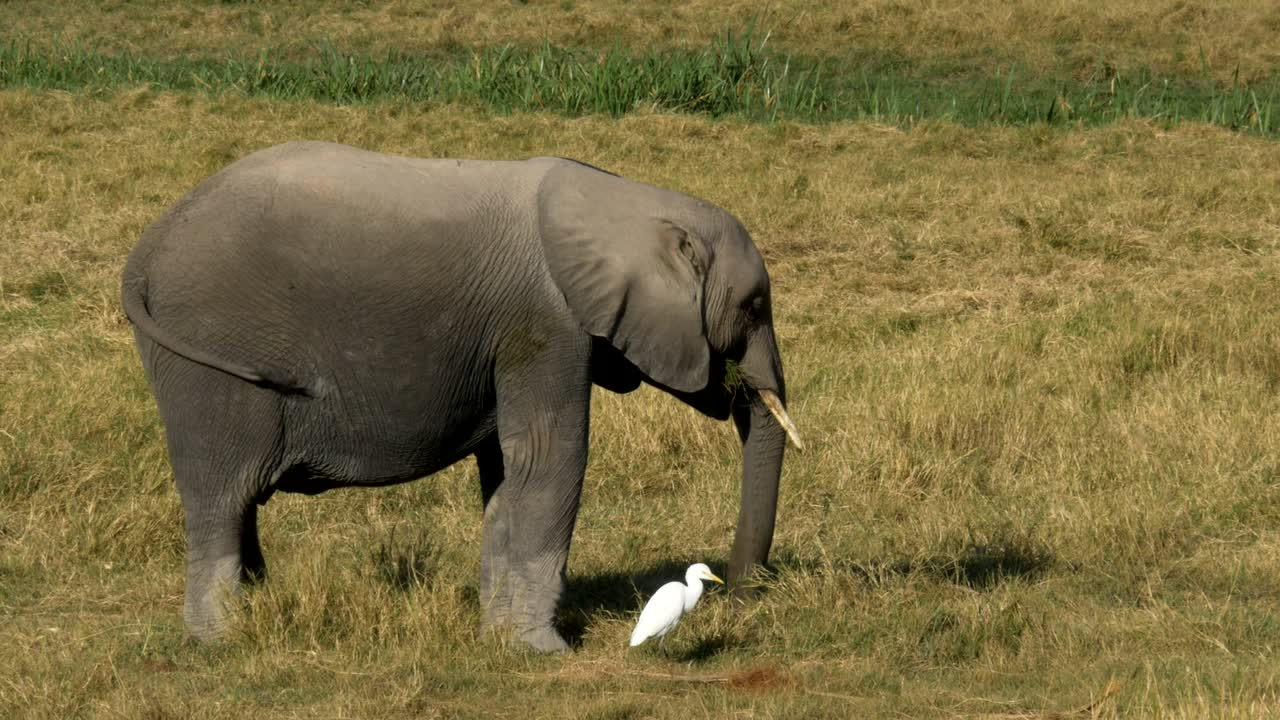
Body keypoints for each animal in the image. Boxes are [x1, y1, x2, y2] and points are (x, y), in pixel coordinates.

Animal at [120, 141, 801, 652]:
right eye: (754, 306)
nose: (740, 594)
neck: (625, 200)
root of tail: (144, 253)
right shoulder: (544, 325)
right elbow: (551, 458)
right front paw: (541, 651)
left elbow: (505, 475)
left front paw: (497, 642)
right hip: (206, 360)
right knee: (223, 498)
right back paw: (221, 640)